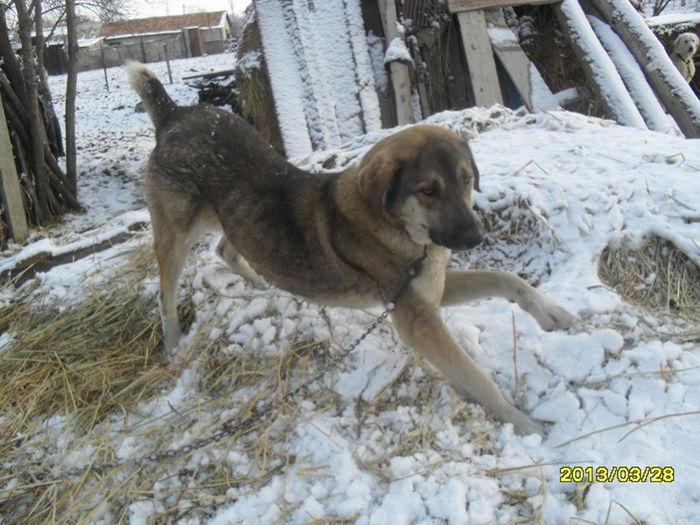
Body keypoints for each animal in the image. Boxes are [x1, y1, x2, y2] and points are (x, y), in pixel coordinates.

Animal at [126, 61, 576, 434]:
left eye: (466, 179)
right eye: (428, 190)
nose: (474, 238)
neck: (399, 229)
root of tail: (175, 113)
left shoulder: (435, 287)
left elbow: (508, 277)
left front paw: (554, 313)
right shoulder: (419, 320)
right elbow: (477, 379)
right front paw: (525, 423)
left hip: (232, 217)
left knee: (227, 249)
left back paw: (260, 283)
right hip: (175, 235)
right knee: (165, 295)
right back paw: (173, 345)